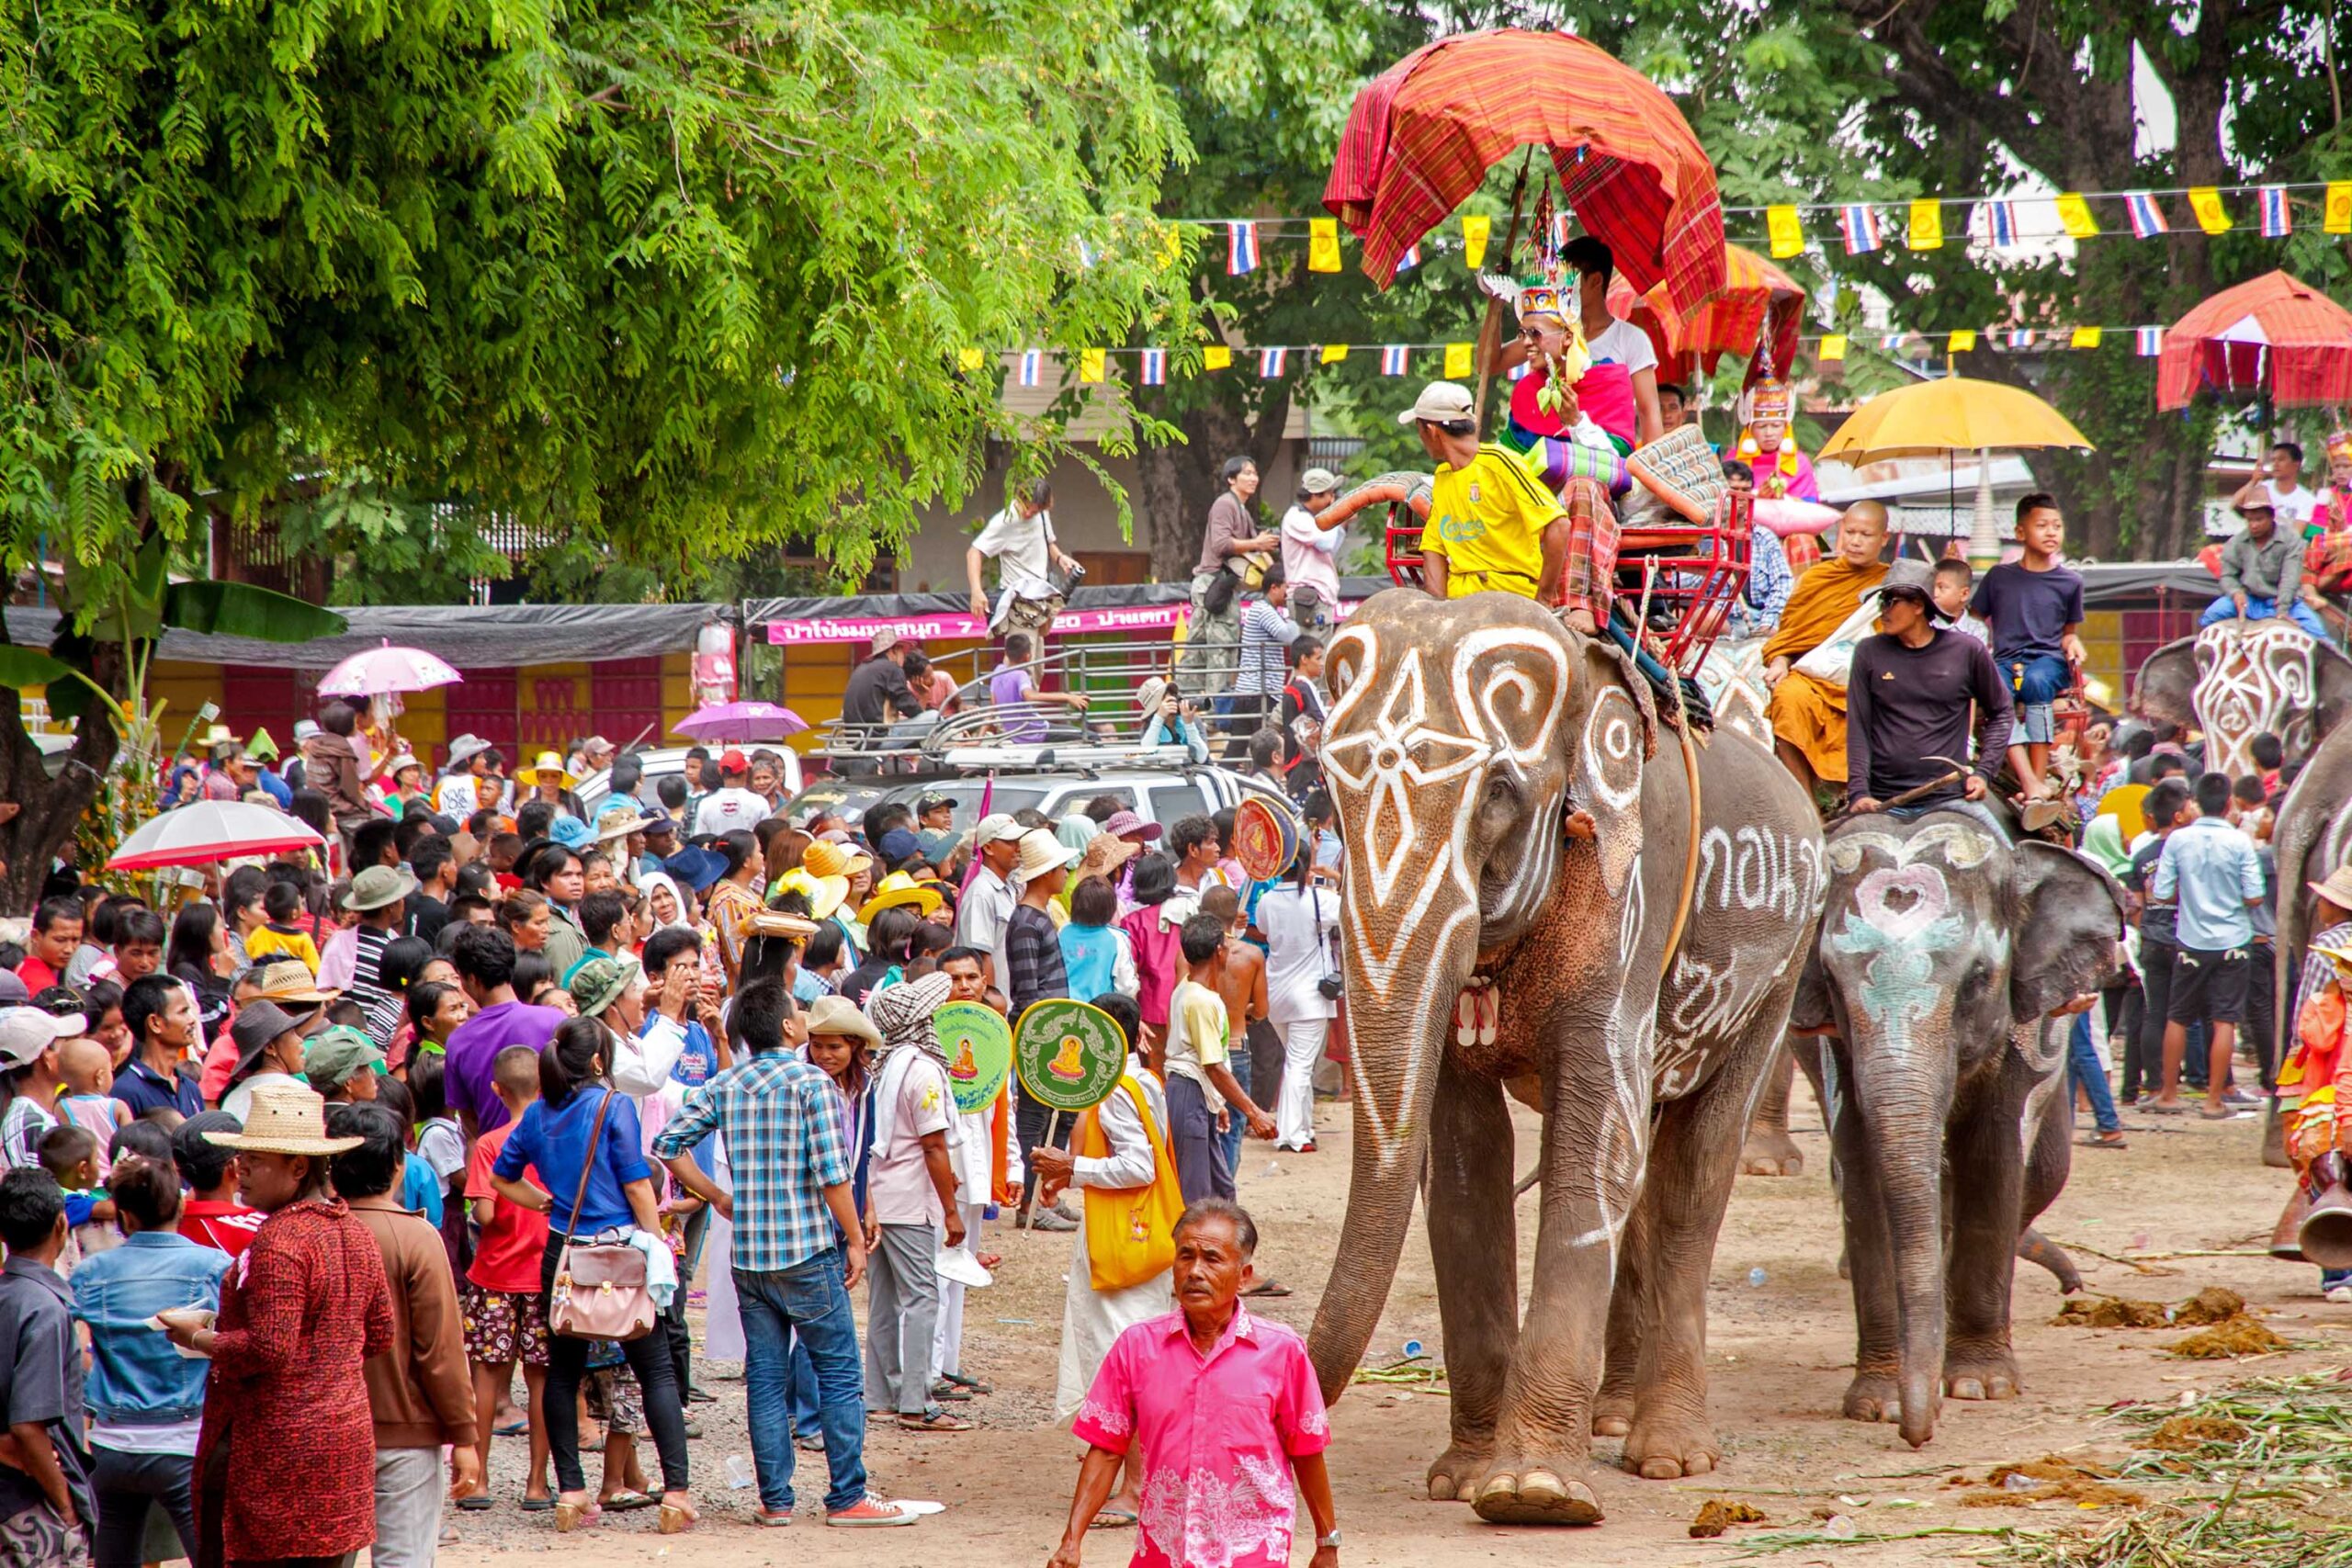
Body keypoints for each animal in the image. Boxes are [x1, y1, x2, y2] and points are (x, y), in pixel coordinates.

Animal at [1307, 585, 1815, 1523]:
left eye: (1501, 791)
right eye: (1325, 781)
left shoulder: (1630, 894)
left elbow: (1591, 1147)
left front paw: (1533, 1493)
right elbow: (1463, 1164)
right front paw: (1464, 1478)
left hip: (1782, 964)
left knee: (1693, 1171)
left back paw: (1667, 1456)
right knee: (1647, 1168)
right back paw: (1610, 1419)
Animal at [1787, 818, 2126, 1457]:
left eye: (1977, 980)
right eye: (1831, 983)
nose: (1918, 1436)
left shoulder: (2022, 1026)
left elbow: (1994, 1162)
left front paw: (1978, 1386)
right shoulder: (1834, 1050)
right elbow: (1861, 1173)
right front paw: (1879, 1403)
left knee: (2046, 1172)